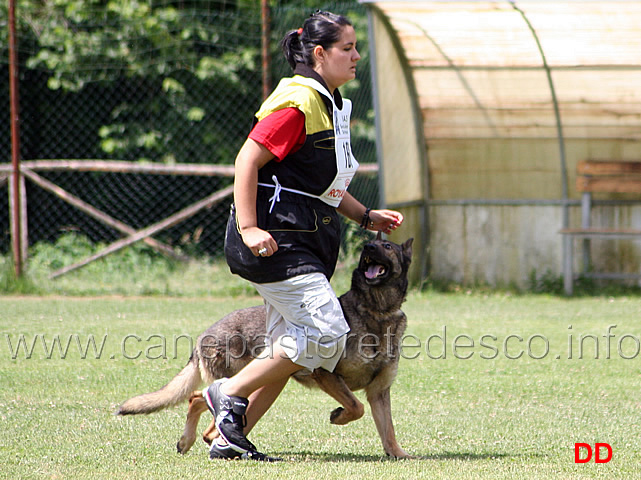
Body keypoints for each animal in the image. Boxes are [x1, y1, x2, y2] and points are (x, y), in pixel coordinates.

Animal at [117, 236, 412, 458]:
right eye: (370, 245)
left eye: (387, 246)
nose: (368, 246)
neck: (376, 310)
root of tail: (204, 335)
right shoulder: (326, 374)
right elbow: (356, 407)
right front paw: (338, 416)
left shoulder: (379, 392)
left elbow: (388, 429)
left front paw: (398, 454)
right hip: (244, 378)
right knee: (200, 399)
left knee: (198, 400)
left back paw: (189, 441)